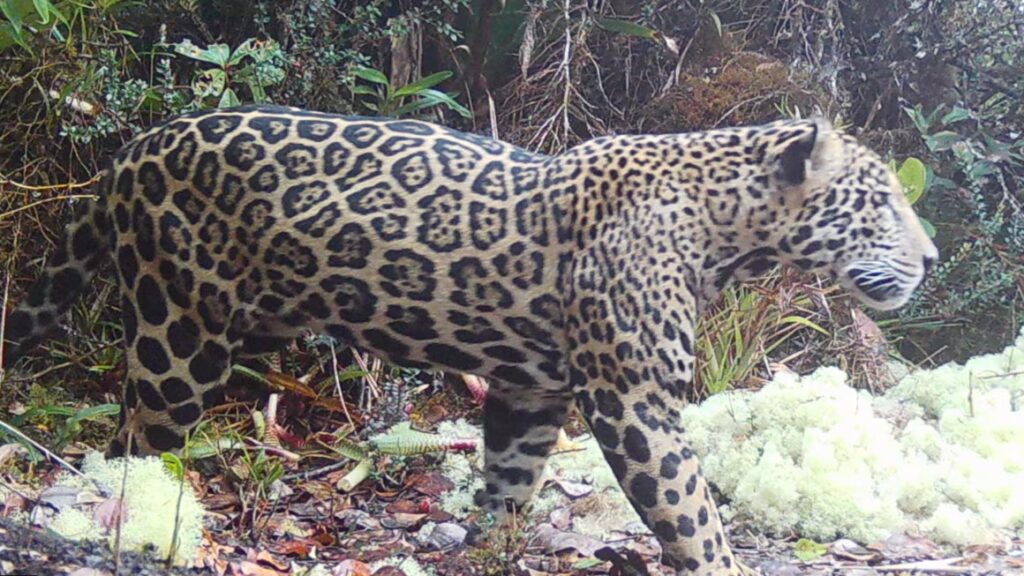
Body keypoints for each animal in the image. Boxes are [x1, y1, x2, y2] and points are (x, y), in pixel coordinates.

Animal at [2, 105, 937, 574]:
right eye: (882, 201)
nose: (930, 259)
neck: (727, 230)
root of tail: (131, 150)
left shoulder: (532, 388)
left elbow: (512, 479)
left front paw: (492, 547)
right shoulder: (633, 400)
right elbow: (691, 512)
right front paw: (718, 565)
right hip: (179, 331)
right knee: (137, 442)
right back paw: (144, 524)